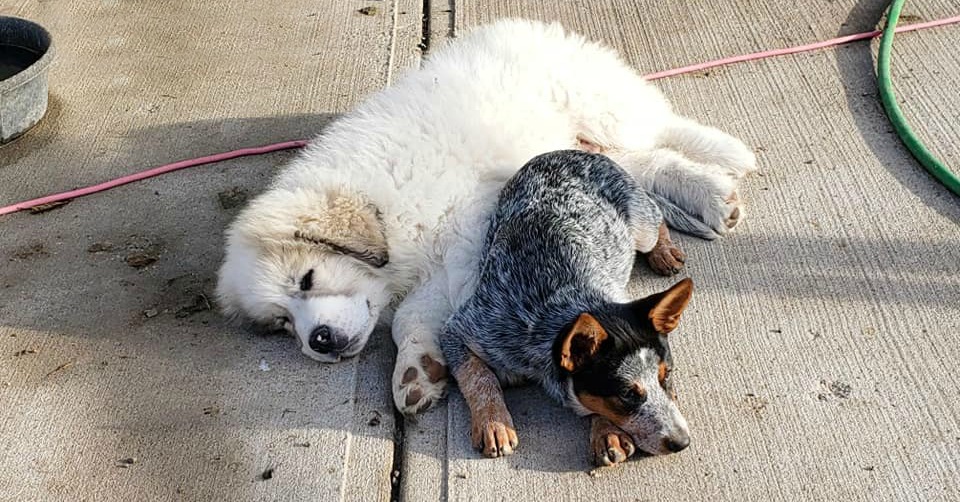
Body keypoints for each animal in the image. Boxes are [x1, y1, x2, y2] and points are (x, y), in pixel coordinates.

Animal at [215, 19, 755, 415]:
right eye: (282, 324)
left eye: (307, 279)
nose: (320, 342)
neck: (384, 203)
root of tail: (529, 26)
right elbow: (414, 315)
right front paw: (418, 372)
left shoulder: (466, 238)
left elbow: (409, 314)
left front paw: (413, 366)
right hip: (584, 143)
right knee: (645, 161)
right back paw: (714, 195)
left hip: (597, 109)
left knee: (659, 133)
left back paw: (720, 177)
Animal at [439, 150, 692, 466]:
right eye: (627, 394)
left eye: (666, 375)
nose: (682, 442)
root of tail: (572, 151)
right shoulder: (459, 329)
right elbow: (478, 375)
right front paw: (493, 423)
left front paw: (606, 431)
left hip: (640, 224)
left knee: (656, 216)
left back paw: (664, 251)